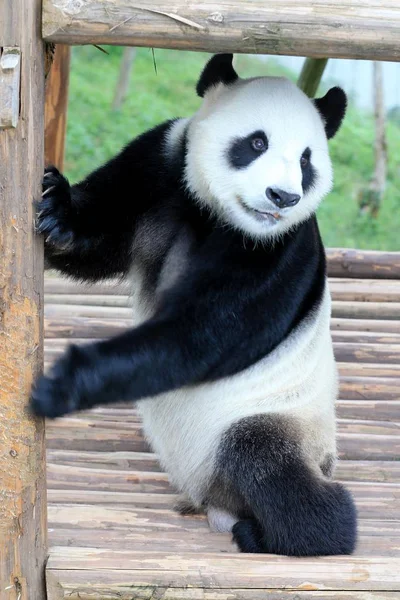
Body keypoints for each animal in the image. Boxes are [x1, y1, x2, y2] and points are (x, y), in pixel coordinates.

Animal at [31, 54, 356, 556]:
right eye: (256, 142)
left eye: (306, 160)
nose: (283, 197)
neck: (221, 215)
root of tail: (214, 503)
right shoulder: (162, 164)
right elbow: (98, 237)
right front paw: (56, 208)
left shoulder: (279, 252)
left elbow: (198, 339)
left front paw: (65, 382)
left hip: (280, 419)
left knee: (268, 466)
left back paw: (289, 532)